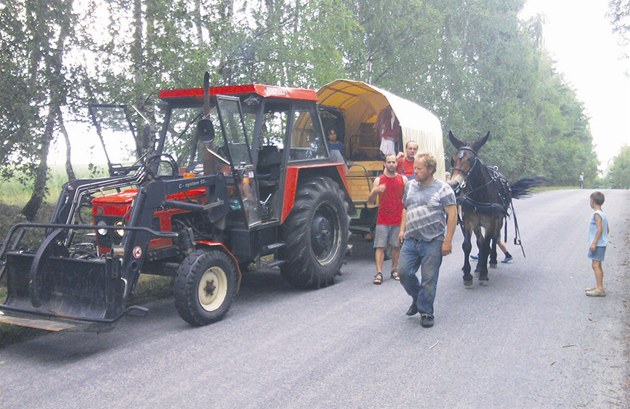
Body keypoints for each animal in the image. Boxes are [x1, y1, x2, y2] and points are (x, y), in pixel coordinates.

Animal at [450, 132, 544, 286]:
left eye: (471, 160)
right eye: (453, 160)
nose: (454, 185)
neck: (479, 195)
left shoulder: (491, 222)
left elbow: (487, 245)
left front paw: (483, 274)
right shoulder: (469, 222)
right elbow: (468, 246)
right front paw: (468, 275)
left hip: (499, 221)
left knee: (493, 239)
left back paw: (492, 260)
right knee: (481, 242)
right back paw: (478, 266)